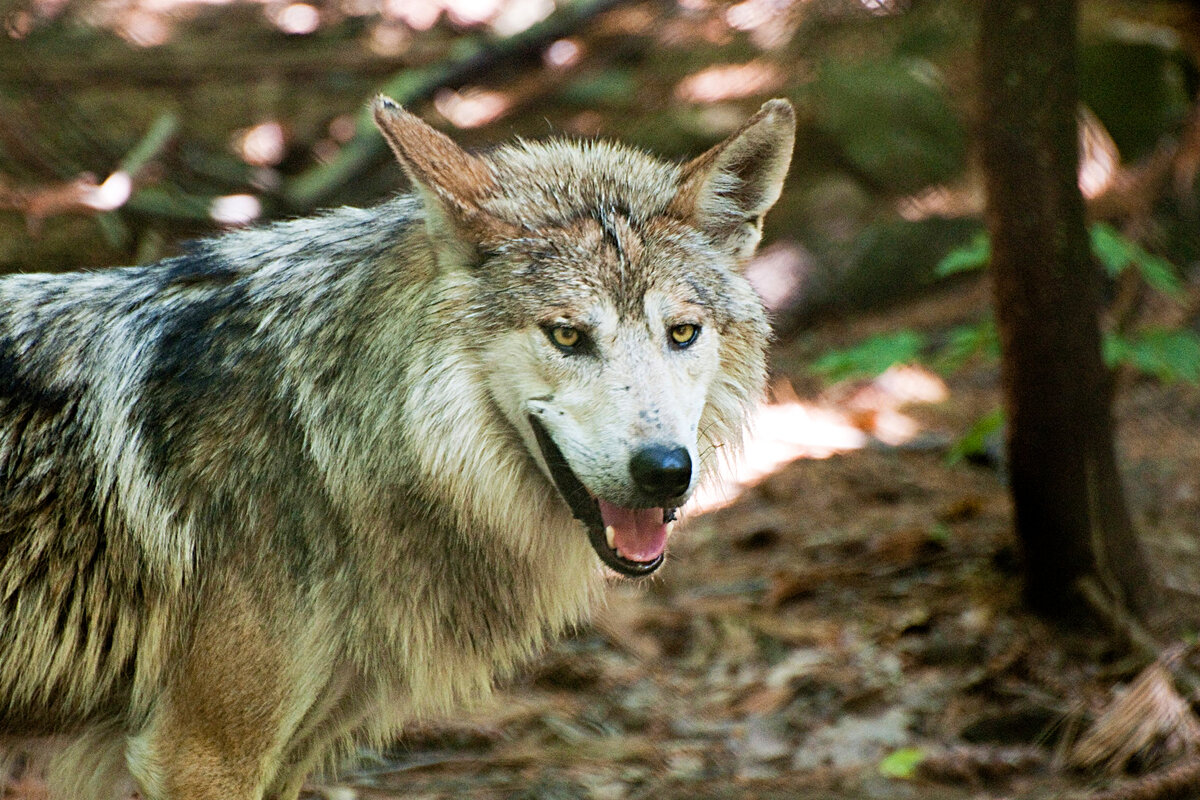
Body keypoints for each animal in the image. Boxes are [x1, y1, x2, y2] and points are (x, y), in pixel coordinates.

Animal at [0, 95, 796, 800]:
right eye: (567, 335)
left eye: (682, 332)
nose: (665, 472)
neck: (322, 437)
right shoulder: (201, 753)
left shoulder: (285, 754)